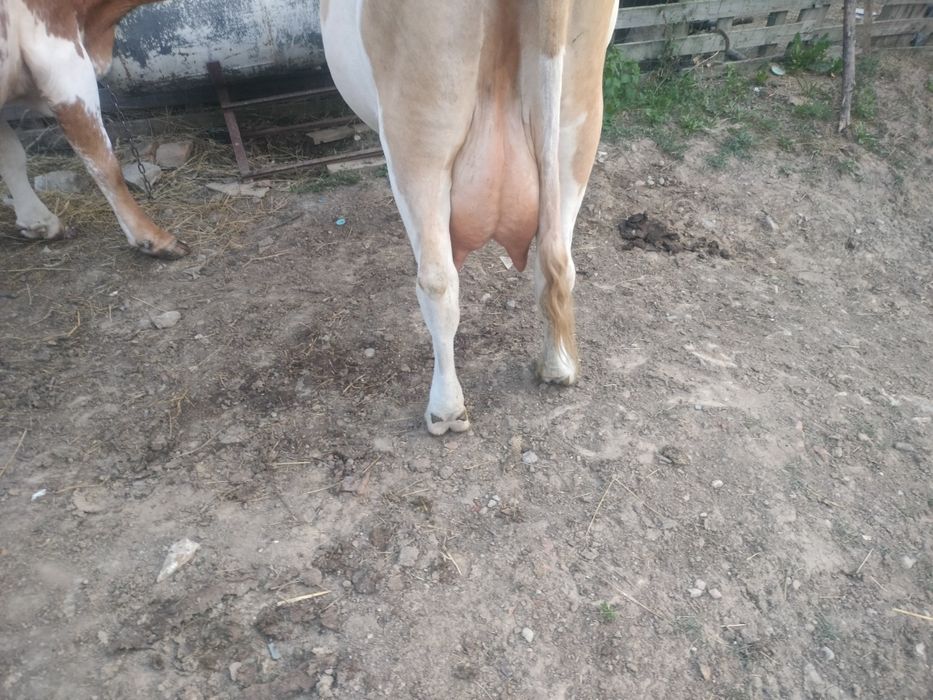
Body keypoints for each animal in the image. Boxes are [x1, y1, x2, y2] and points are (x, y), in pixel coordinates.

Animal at [321, 0, 620, 434]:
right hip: (579, 122)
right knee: (558, 263)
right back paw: (557, 367)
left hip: (420, 129)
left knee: (438, 282)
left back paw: (446, 410)